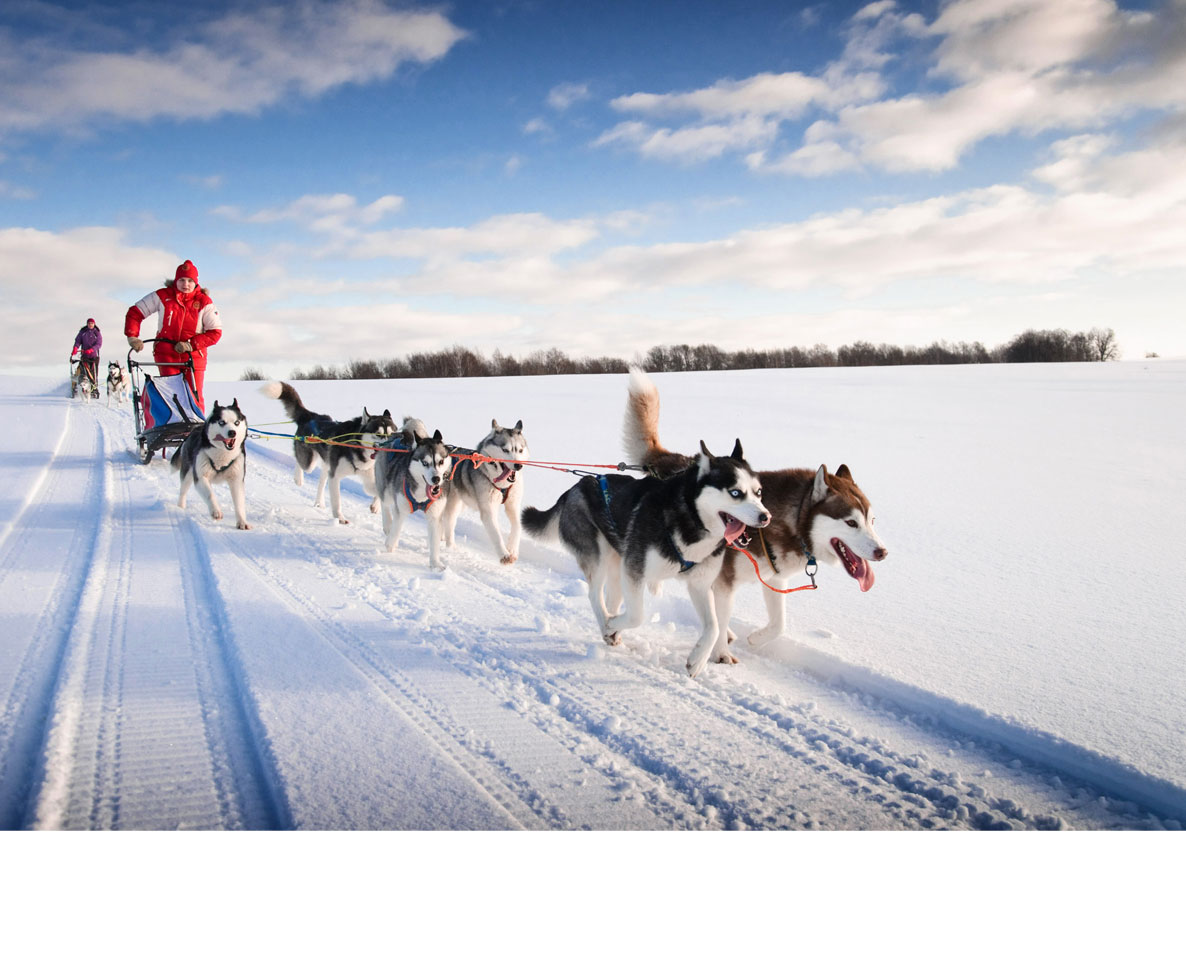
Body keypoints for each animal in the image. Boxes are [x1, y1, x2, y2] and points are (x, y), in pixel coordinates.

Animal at [171, 396, 250, 528]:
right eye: (221, 422)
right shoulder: (201, 477)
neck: (223, 457)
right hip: (188, 474)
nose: (232, 432)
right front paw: (216, 511)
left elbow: (239, 503)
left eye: (237, 422)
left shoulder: (236, 480)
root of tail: (193, 430)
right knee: (183, 491)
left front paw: (242, 522)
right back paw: (180, 506)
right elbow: (210, 494)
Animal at [262, 381, 396, 526]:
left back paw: (319, 502)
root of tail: (310, 416)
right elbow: (336, 501)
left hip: (327, 465)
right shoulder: (335, 476)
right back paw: (299, 479)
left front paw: (375, 506)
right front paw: (340, 518)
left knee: (321, 483)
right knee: (300, 462)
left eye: (392, 433)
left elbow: (379, 491)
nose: (391, 446)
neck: (357, 448)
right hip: (310, 462)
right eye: (378, 434)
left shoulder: (367, 477)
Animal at [443, 417, 531, 566]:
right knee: (448, 522)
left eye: (520, 450)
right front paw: (504, 554)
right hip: (452, 505)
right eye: (505, 450)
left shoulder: (513, 505)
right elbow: (496, 533)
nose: (518, 465)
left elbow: (517, 526)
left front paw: (512, 549)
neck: (502, 484)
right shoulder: (488, 510)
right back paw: (450, 547)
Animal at [521, 436, 768, 673]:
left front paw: (697, 660)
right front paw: (611, 625)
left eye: (758, 492)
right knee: (595, 595)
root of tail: (577, 486)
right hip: (598, 557)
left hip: (617, 564)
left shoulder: (699, 584)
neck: (690, 518)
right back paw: (607, 624)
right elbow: (637, 615)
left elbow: (714, 626)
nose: (766, 516)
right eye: (735, 493)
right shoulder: (635, 571)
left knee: (611, 598)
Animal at [621, 367, 891, 664]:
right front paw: (721, 653)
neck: (789, 523)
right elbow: (720, 620)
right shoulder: (723, 583)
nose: (882, 552)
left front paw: (755, 638)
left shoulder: (774, 579)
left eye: (872, 521)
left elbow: (778, 624)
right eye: (851, 522)